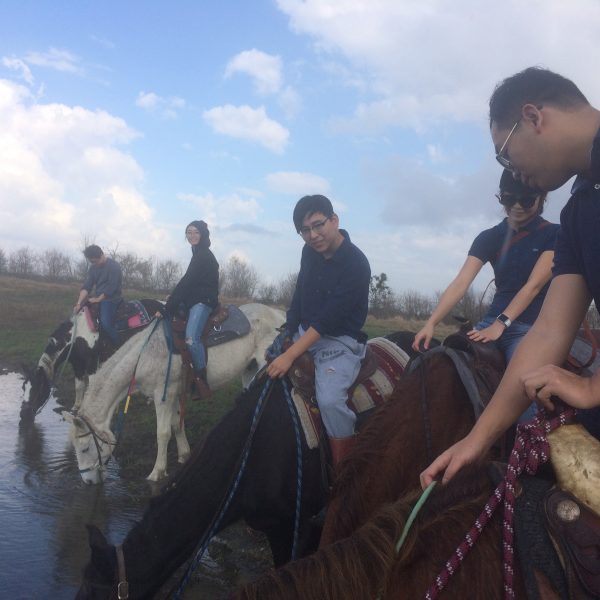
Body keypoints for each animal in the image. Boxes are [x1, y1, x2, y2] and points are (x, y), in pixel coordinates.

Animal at [62, 302, 286, 486]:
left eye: (84, 448)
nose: (88, 481)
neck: (145, 356)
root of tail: (279, 314)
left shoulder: (163, 394)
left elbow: (162, 433)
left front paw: (157, 472)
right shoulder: (175, 394)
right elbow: (176, 425)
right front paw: (184, 455)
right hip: (249, 372)